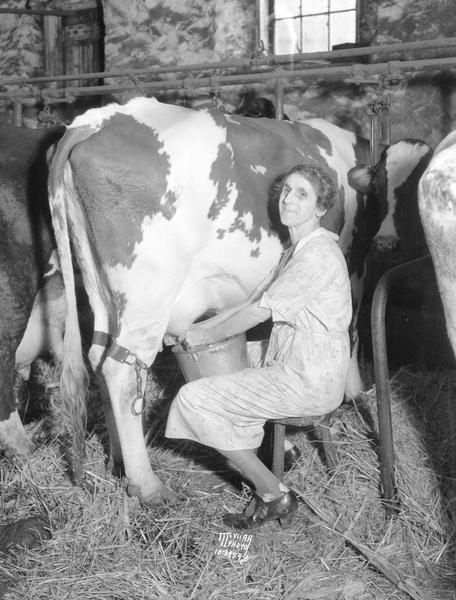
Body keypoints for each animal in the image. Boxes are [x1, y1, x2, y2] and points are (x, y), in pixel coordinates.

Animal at [48, 97, 406, 502]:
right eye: (386, 188)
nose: (390, 241)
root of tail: (98, 119)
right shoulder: (353, 266)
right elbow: (351, 331)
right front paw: (354, 395)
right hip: (148, 293)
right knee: (121, 369)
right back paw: (148, 485)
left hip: (101, 289)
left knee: (97, 357)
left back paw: (118, 461)